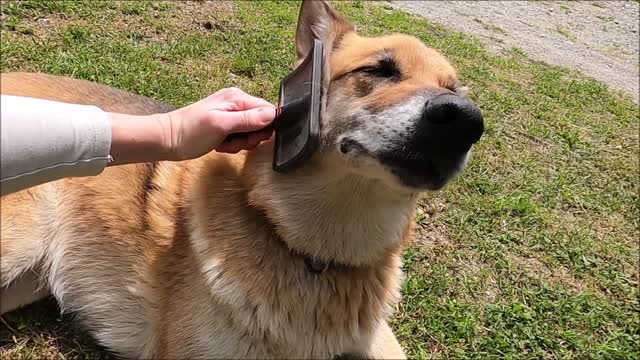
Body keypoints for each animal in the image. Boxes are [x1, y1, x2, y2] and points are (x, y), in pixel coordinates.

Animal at [0, 1, 482, 358]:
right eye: (380, 70)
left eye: (454, 90)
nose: (466, 121)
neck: (315, 255)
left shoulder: (378, 338)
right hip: (21, 240)